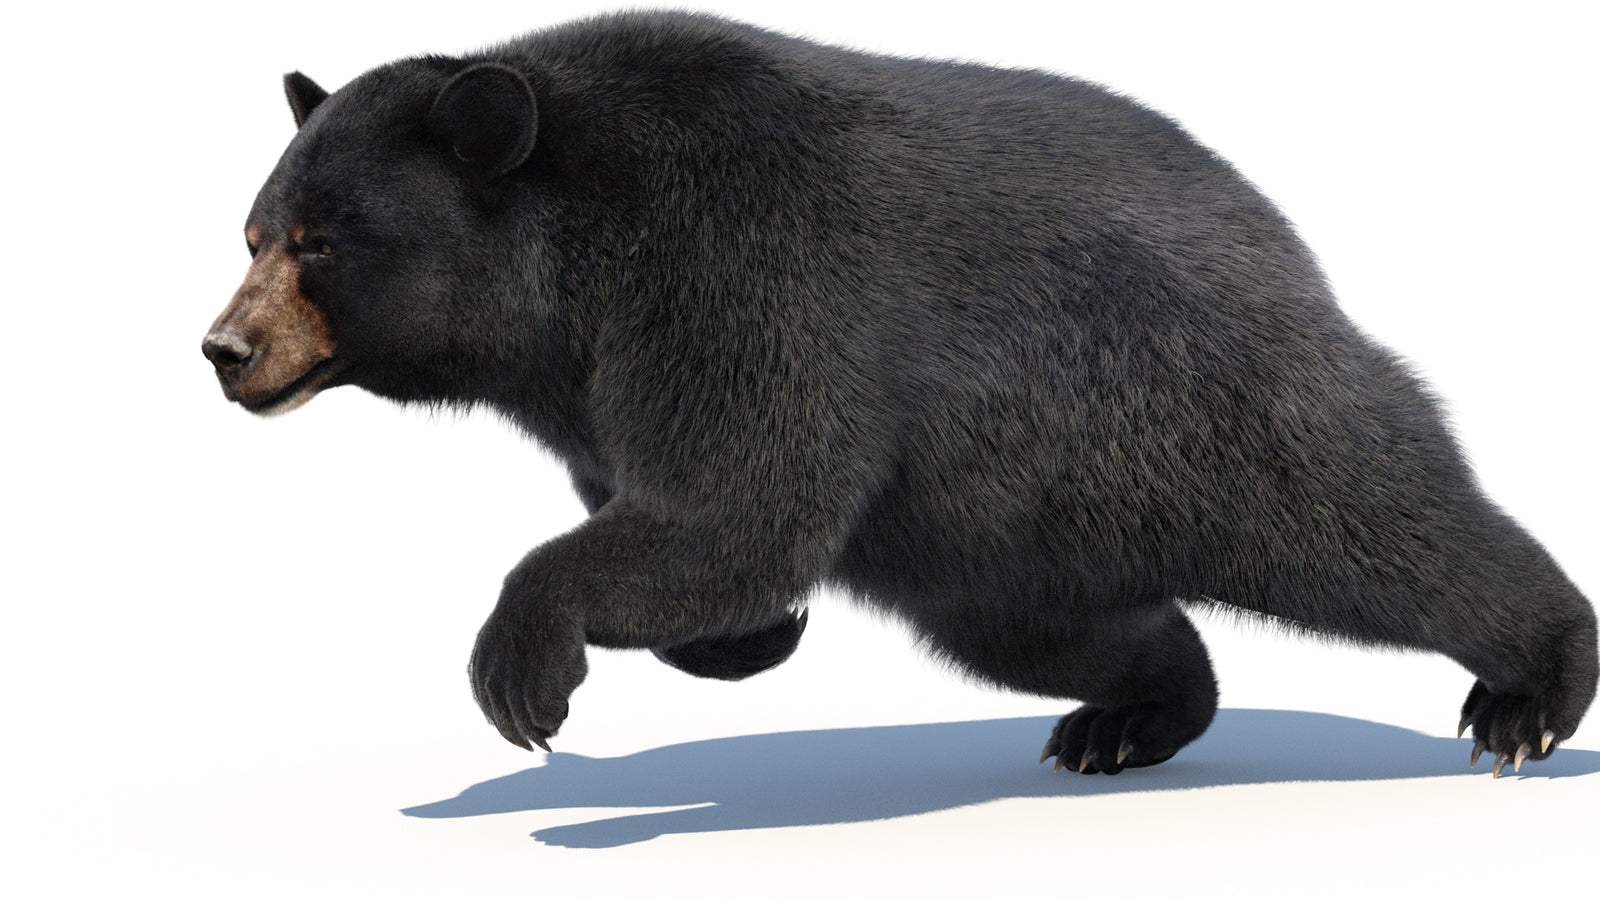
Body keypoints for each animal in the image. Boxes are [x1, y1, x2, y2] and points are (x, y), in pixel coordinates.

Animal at [202, 9, 1595, 777]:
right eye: (254, 231)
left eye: (323, 242)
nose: (224, 350)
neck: (573, 281)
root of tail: (1281, 236)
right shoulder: (594, 388)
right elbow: (690, 528)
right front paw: (751, 638)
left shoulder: (737, 275)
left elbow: (742, 505)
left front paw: (522, 673)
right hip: (998, 524)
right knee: (1044, 627)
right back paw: (1133, 714)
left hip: (1189, 405)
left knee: (1380, 525)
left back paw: (1527, 695)